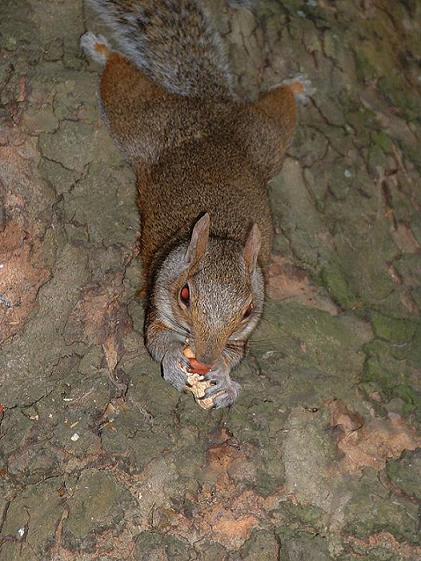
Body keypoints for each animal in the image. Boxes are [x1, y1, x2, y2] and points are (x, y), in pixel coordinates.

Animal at [79, 0, 308, 406]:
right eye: (185, 294)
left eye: (248, 310)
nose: (203, 359)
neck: (222, 234)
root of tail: (210, 108)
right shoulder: (157, 303)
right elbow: (156, 340)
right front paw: (173, 362)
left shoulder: (242, 334)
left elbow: (235, 354)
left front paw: (223, 378)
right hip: (142, 121)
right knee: (122, 82)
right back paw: (100, 48)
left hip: (264, 139)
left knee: (277, 109)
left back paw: (295, 86)